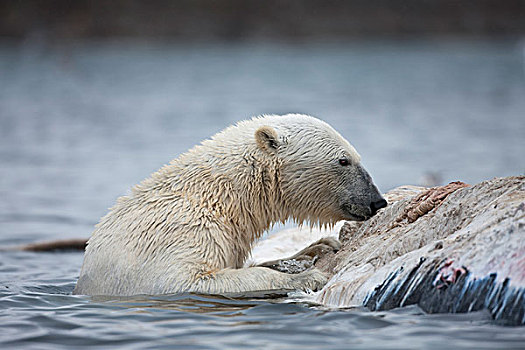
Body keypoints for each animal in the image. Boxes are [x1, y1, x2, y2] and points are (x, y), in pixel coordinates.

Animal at [72, 114, 384, 296]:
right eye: (344, 160)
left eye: (354, 157)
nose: (377, 201)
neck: (220, 196)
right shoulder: (181, 232)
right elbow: (186, 280)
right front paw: (311, 276)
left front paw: (317, 247)